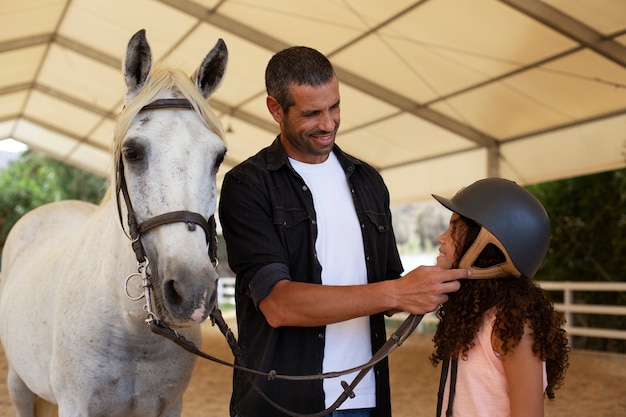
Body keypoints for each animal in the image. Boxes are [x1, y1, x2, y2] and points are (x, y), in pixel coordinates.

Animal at [0, 30, 228, 416]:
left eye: (218, 157)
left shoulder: (171, 405)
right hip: (19, 384)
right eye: (132, 152)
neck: (131, 328)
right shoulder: (74, 405)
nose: (192, 291)